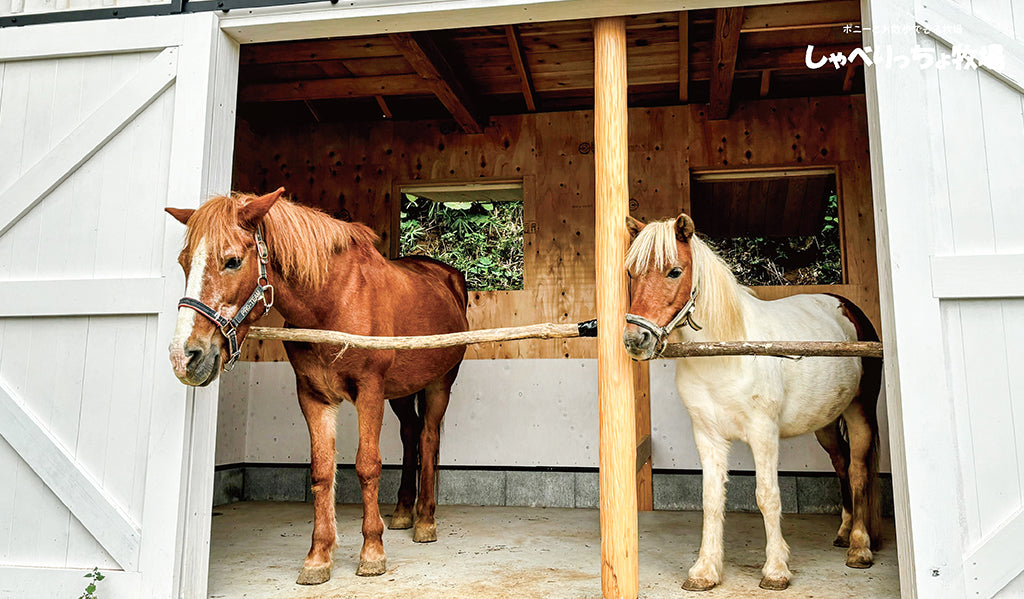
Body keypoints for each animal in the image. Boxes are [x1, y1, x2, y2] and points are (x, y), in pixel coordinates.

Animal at [618, 212, 884, 589]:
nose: (635, 340)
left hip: (859, 412)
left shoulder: (763, 433)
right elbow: (712, 499)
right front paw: (705, 570)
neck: (726, 352)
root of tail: (850, 311)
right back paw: (845, 531)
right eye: (632, 273)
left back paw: (859, 547)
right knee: (842, 463)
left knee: (859, 470)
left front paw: (775, 570)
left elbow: (767, 496)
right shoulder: (708, 436)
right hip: (826, 424)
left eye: (674, 271)